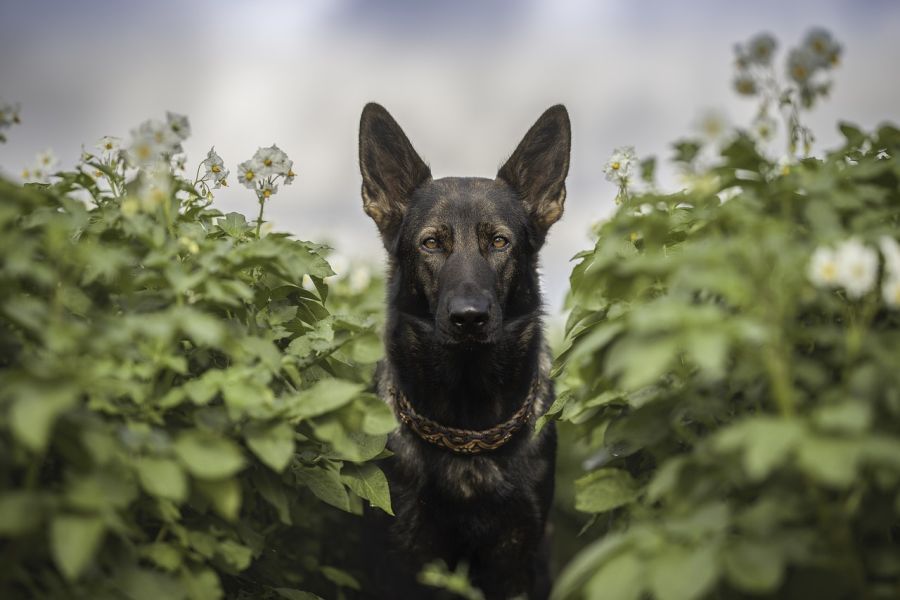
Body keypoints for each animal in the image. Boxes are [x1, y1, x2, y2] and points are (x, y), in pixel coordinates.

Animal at [356, 104, 568, 600]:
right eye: (432, 243)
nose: (469, 318)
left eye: (500, 242)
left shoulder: (516, 560)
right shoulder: (409, 554)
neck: (467, 433)